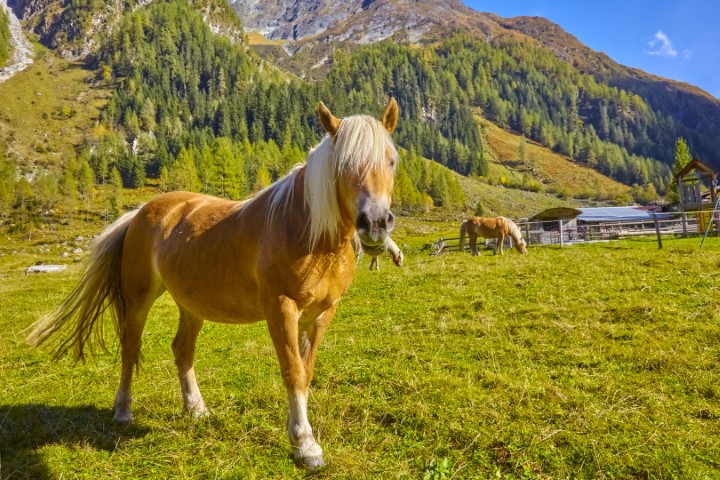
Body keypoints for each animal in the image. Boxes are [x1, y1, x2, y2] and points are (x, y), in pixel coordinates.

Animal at [26, 98, 400, 470]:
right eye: (344, 165)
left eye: (392, 160)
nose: (375, 223)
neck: (310, 232)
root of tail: (140, 212)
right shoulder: (281, 309)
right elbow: (293, 372)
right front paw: (304, 444)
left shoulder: (323, 314)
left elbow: (305, 374)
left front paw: (303, 438)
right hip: (138, 299)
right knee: (131, 348)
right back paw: (122, 411)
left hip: (190, 306)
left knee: (182, 350)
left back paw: (196, 409)